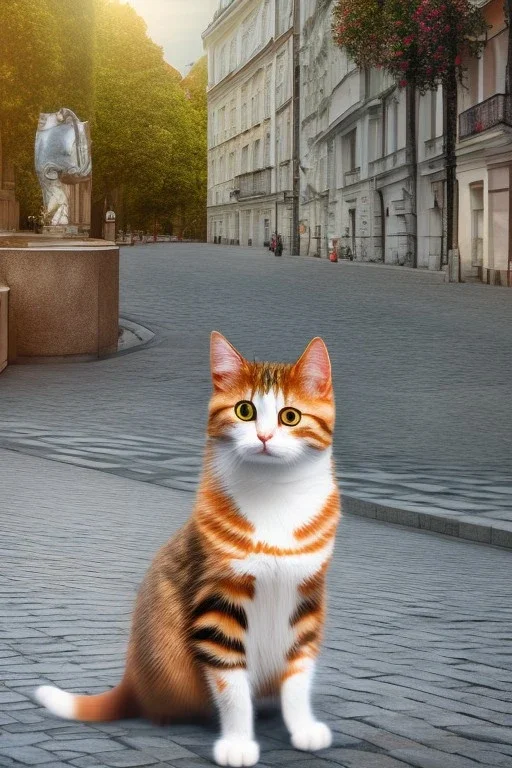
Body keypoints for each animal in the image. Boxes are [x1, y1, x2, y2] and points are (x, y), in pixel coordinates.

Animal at [35, 332, 340, 768]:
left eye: (290, 417)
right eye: (245, 410)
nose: (264, 437)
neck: (274, 498)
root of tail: (133, 677)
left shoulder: (306, 598)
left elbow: (298, 676)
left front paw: (302, 728)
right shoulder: (218, 604)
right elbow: (232, 686)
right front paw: (237, 743)